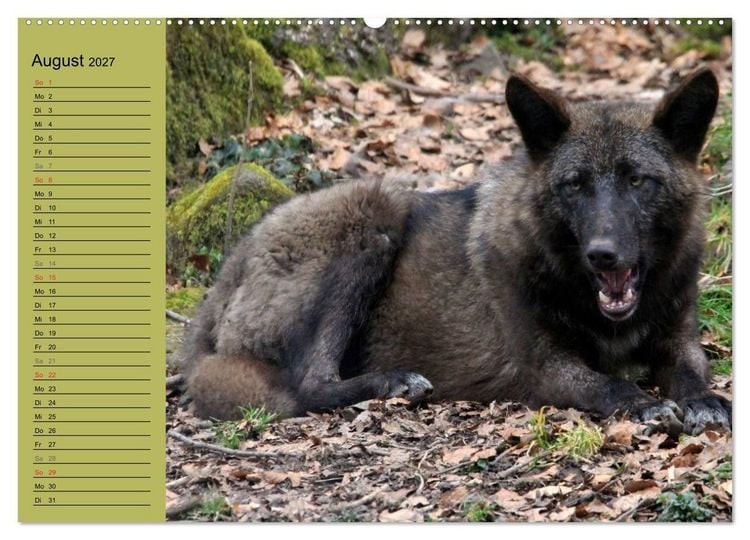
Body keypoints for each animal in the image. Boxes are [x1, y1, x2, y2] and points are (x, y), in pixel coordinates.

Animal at [182, 68, 731, 435]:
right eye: (575, 185)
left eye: (638, 181)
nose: (603, 254)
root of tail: (224, 277)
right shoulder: (543, 367)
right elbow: (606, 385)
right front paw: (643, 403)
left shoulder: (678, 336)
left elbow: (691, 370)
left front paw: (704, 400)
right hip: (376, 209)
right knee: (308, 385)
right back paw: (395, 382)